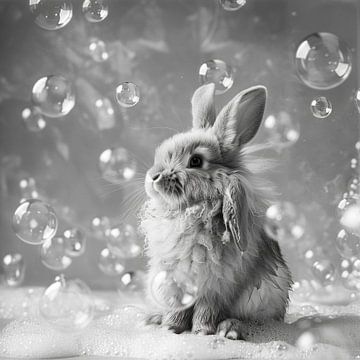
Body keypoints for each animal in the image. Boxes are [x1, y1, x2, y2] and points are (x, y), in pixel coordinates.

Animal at [139, 83, 294, 338]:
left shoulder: (217, 285)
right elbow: (177, 309)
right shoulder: (174, 282)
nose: (153, 177)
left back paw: (229, 330)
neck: (192, 210)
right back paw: (153, 319)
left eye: (195, 161)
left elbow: (207, 310)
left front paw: (201, 331)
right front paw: (171, 327)